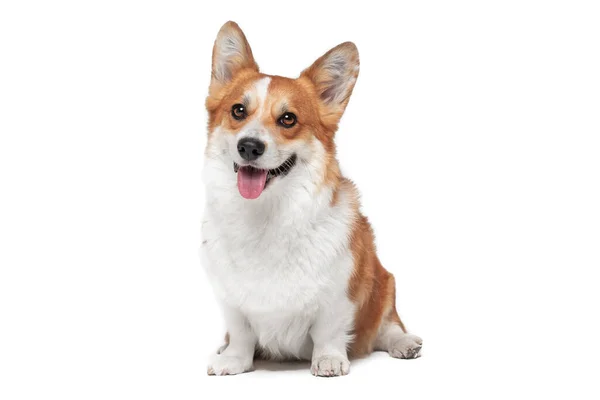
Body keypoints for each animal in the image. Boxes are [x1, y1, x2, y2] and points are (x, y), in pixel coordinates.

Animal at [202, 21, 422, 378]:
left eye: (288, 119)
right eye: (238, 111)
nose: (249, 146)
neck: (266, 213)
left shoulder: (342, 289)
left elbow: (328, 329)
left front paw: (329, 359)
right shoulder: (230, 297)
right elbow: (240, 331)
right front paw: (234, 359)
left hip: (385, 282)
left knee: (387, 327)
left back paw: (404, 343)